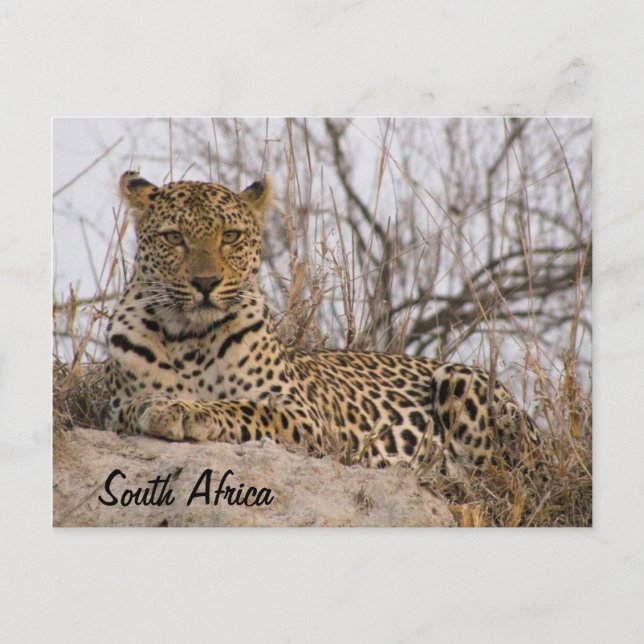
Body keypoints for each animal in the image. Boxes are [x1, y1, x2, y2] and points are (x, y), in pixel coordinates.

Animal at [105, 171, 545, 479]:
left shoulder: (304, 415)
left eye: (230, 236)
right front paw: (161, 405)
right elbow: (132, 405)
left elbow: (244, 406)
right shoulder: (114, 405)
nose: (206, 283)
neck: (191, 337)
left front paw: (190, 410)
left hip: (460, 379)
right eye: (173, 237)